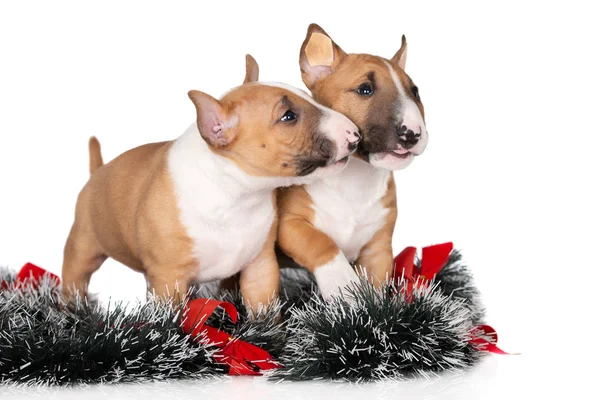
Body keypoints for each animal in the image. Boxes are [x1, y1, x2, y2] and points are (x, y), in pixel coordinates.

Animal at [61, 55, 360, 312]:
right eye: (288, 116)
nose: (354, 135)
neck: (235, 195)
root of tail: (98, 171)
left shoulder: (260, 267)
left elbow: (264, 313)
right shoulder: (168, 279)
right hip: (83, 245)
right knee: (74, 277)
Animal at [276, 25, 426, 300]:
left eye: (415, 92)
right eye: (365, 89)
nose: (412, 134)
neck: (354, 181)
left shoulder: (378, 248)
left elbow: (377, 285)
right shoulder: (289, 225)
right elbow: (319, 242)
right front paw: (342, 284)